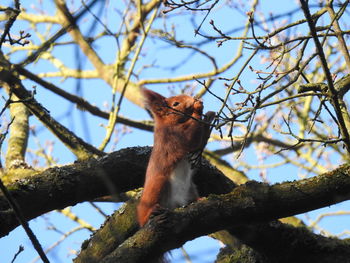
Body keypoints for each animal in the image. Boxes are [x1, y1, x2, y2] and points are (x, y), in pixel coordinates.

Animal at [137, 88, 215, 227]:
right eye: (175, 104)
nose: (193, 99)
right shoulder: (173, 136)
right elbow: (191, 139)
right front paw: (198, 108)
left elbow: (200, 143)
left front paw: (209, 116)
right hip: (157, 185)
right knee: (144, 216)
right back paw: (151, 213)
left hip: (191, 189)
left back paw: (199, 199)